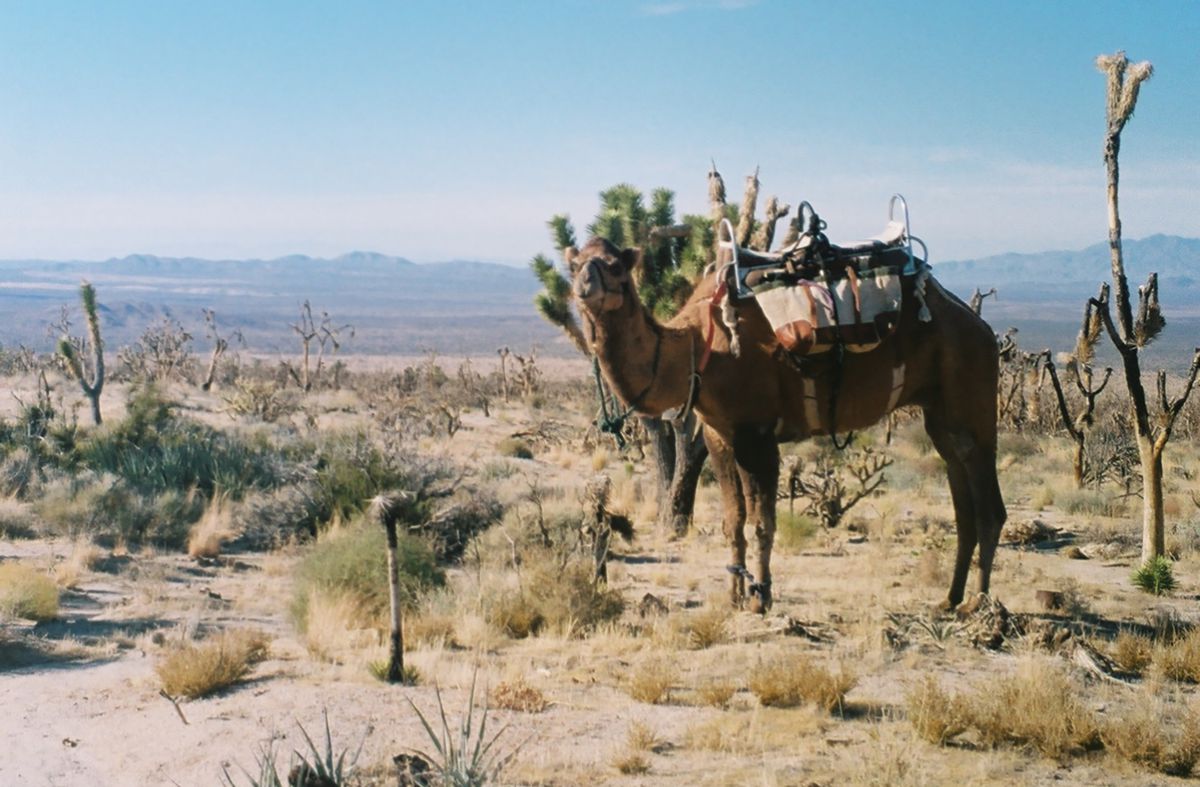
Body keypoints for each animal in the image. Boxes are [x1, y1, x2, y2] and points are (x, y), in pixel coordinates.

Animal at [566, 236, 1008, 611]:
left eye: (615, 267)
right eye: (574, 265)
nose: (585, 284)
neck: (697, 348)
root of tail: (983, 329)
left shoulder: (757, 433)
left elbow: (762, 522)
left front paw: (761, 598)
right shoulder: (719, 434)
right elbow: (732, 521)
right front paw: (734, 595)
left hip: (971, 386)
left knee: (989, 501)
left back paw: (979, 605)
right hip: (940, 408)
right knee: (960, 485)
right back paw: (949, 599)